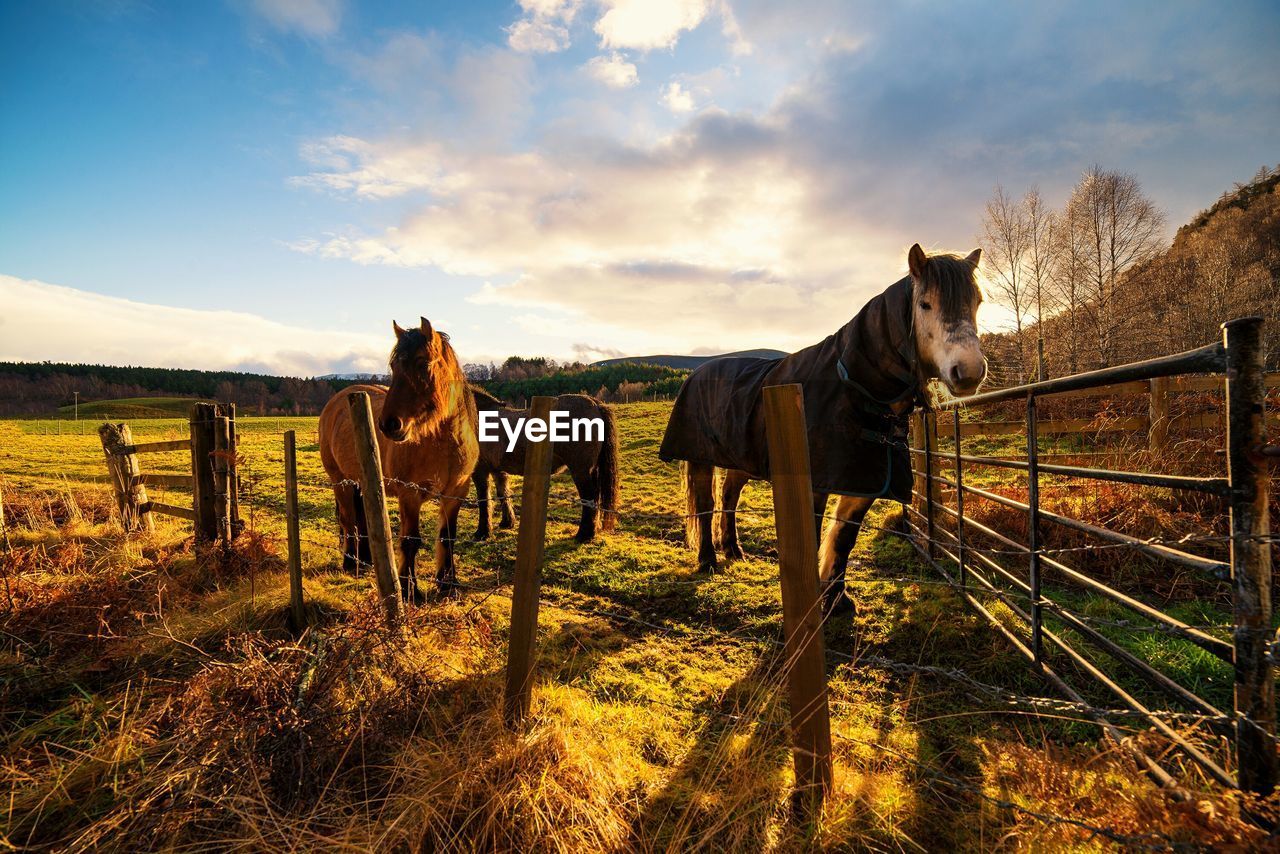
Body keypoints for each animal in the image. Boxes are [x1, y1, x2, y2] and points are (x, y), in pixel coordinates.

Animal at [320, 317, 481, 604]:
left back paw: (367, 561)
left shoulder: (456, 492)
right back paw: (351, 563)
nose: (388, 424)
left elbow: (447, 537)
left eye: (422, 363)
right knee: (348, 520)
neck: (441, 442)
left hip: (362, 482)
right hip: (340, 481)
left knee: (362, 521)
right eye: (395, 367)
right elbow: (410, 540)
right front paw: (409, 590)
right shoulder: (410, 494)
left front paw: (448, 585)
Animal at [471, 386, 619, 540]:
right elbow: (503, 494)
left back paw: (584, 534)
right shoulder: (498, 470)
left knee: (589, 497)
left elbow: (483, 500)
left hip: (581, 470)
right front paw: (507, 522)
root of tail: (595, 403)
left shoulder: (480, 471)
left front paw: (482, 532)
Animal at [655, 245, 983, 614]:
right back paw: (708, 560)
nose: (969, 371)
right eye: (925, 304)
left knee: (729, 497)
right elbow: (811, 538)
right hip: (699, 459)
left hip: (741, 460)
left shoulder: (863, 481)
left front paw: (838, 599)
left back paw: (734, 550)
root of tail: (697, 373)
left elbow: (842, 539)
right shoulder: (814, 484)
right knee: (705, 502)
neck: (854, 387)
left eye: (978, 301)